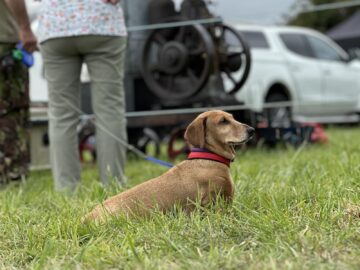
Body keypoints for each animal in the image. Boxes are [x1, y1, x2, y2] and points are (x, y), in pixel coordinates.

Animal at [82, 110, 255, 224]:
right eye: (223, 121)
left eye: (232, 118)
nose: (252, 130)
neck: (208, 158)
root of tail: (88, 216)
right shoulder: (216, 203)